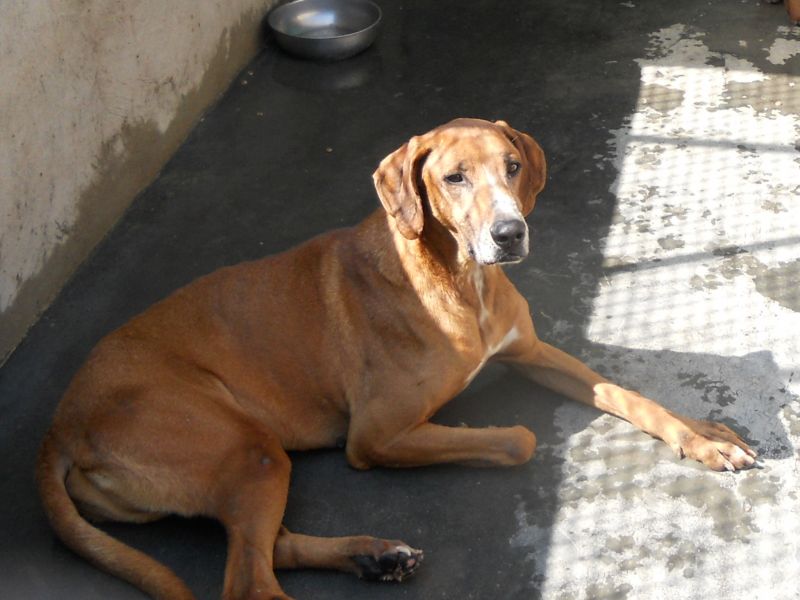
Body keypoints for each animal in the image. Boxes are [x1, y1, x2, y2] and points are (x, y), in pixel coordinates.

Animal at [36, 118, 756, 600]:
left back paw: (374, 556)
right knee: (250, 581)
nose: (510, 233)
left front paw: (704, 436)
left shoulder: (532, 350)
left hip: (252, 463)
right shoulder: (375, 435)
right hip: (246, 448)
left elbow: (630, 393)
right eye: (454, 178)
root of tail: (58, 429)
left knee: (270, 545)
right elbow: (518, 437)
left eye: (512, 166)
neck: (461, 281)